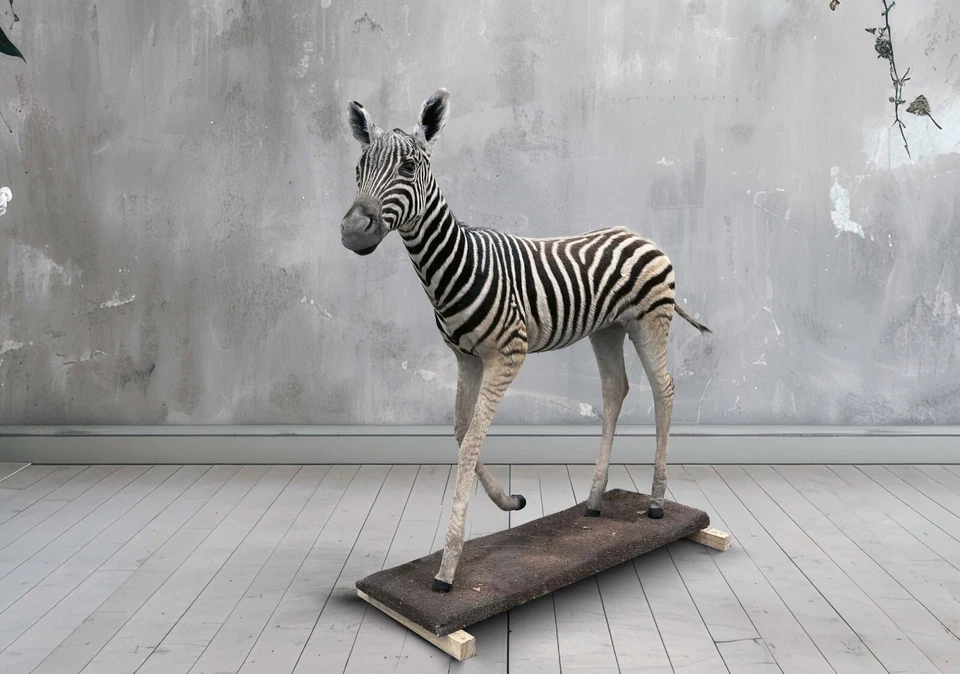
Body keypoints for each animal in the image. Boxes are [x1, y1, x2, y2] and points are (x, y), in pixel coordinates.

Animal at [340, 89, 711, 592]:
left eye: (409, 167)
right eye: (359, 166)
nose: (352, 231)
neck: (453, 267)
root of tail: (642, 236)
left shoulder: (507, 356)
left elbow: (471, 440)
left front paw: (448, 568)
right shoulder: (466, 358)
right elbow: (461, 432)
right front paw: (509, 503)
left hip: (650, 321)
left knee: (664, 390)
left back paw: (655, 502)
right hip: (607, 330)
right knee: (615, 391)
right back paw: (594, 500)